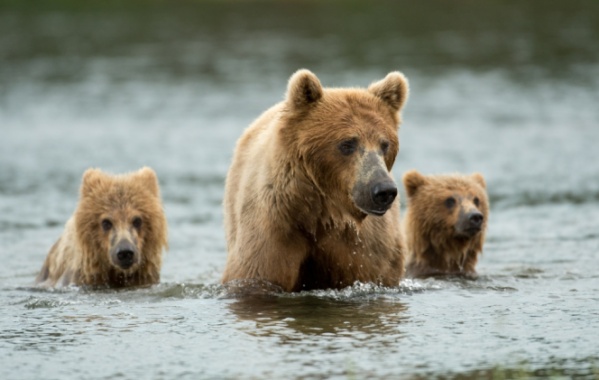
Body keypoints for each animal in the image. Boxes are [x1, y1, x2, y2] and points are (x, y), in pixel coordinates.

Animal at [223, 70, 410, 292]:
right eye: (347, 143)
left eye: (385, 144)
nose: (383, 190)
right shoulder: (275, 227)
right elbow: (259, 273)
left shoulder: (364, 246)